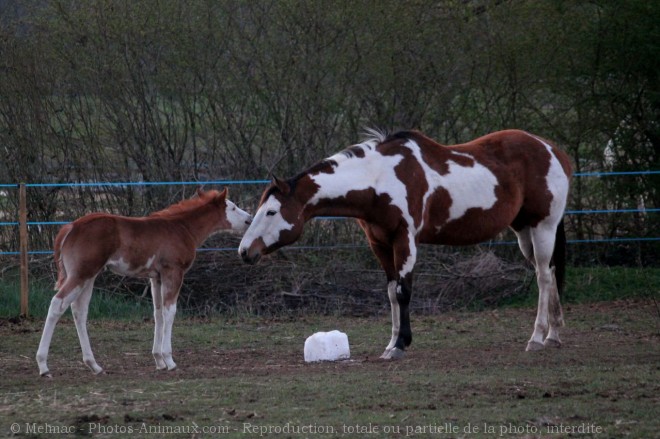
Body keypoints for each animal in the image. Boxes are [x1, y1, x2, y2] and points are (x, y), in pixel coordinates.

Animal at [36, 187, 253, 376]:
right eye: (233, 207)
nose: (249, 220)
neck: (181, 228)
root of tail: (71, 227)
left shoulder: (156, 278)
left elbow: (158, 313)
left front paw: (159, 360)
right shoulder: (173, 272)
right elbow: (170, 312)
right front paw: (169, 360)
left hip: (88, 276)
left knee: (79, 311)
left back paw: (94, 365)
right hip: (81, 274)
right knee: (57, 304)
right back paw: (43, 365)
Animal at [238, 129, 572, 360]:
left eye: (271, 212)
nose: (245, 251)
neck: (379, 179)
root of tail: (554, 150)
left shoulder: (405, 239)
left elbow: (403, 290)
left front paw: (400, 345)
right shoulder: (380, 243)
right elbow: (390, 293)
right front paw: (391, 343)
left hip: (543, 227)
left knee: (543, 277)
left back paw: (537, 338)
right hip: (525, 231)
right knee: (551, 271)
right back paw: (554, 335)